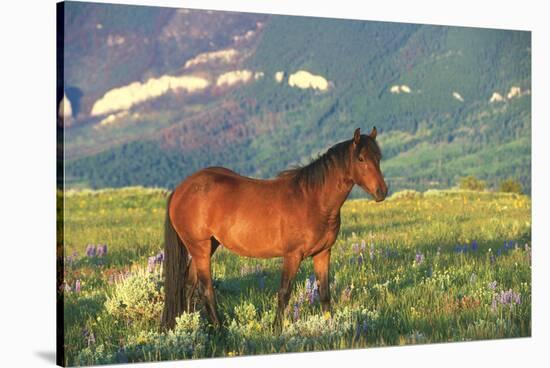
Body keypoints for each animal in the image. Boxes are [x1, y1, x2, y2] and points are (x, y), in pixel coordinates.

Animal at [162, 126, 390, 330]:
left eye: (378, 157)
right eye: (361, 159)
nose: (382, 192)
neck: (313, 200)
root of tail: (180, 189)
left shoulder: (323, 253)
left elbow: (324, 293)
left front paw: (331, 326)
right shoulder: (292, 255)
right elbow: (284, 293)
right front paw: (277, 329)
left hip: (208, 246)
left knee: (189, 285)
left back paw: (190, 326)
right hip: (199, 247)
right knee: (205, 289)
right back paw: (219, 330)